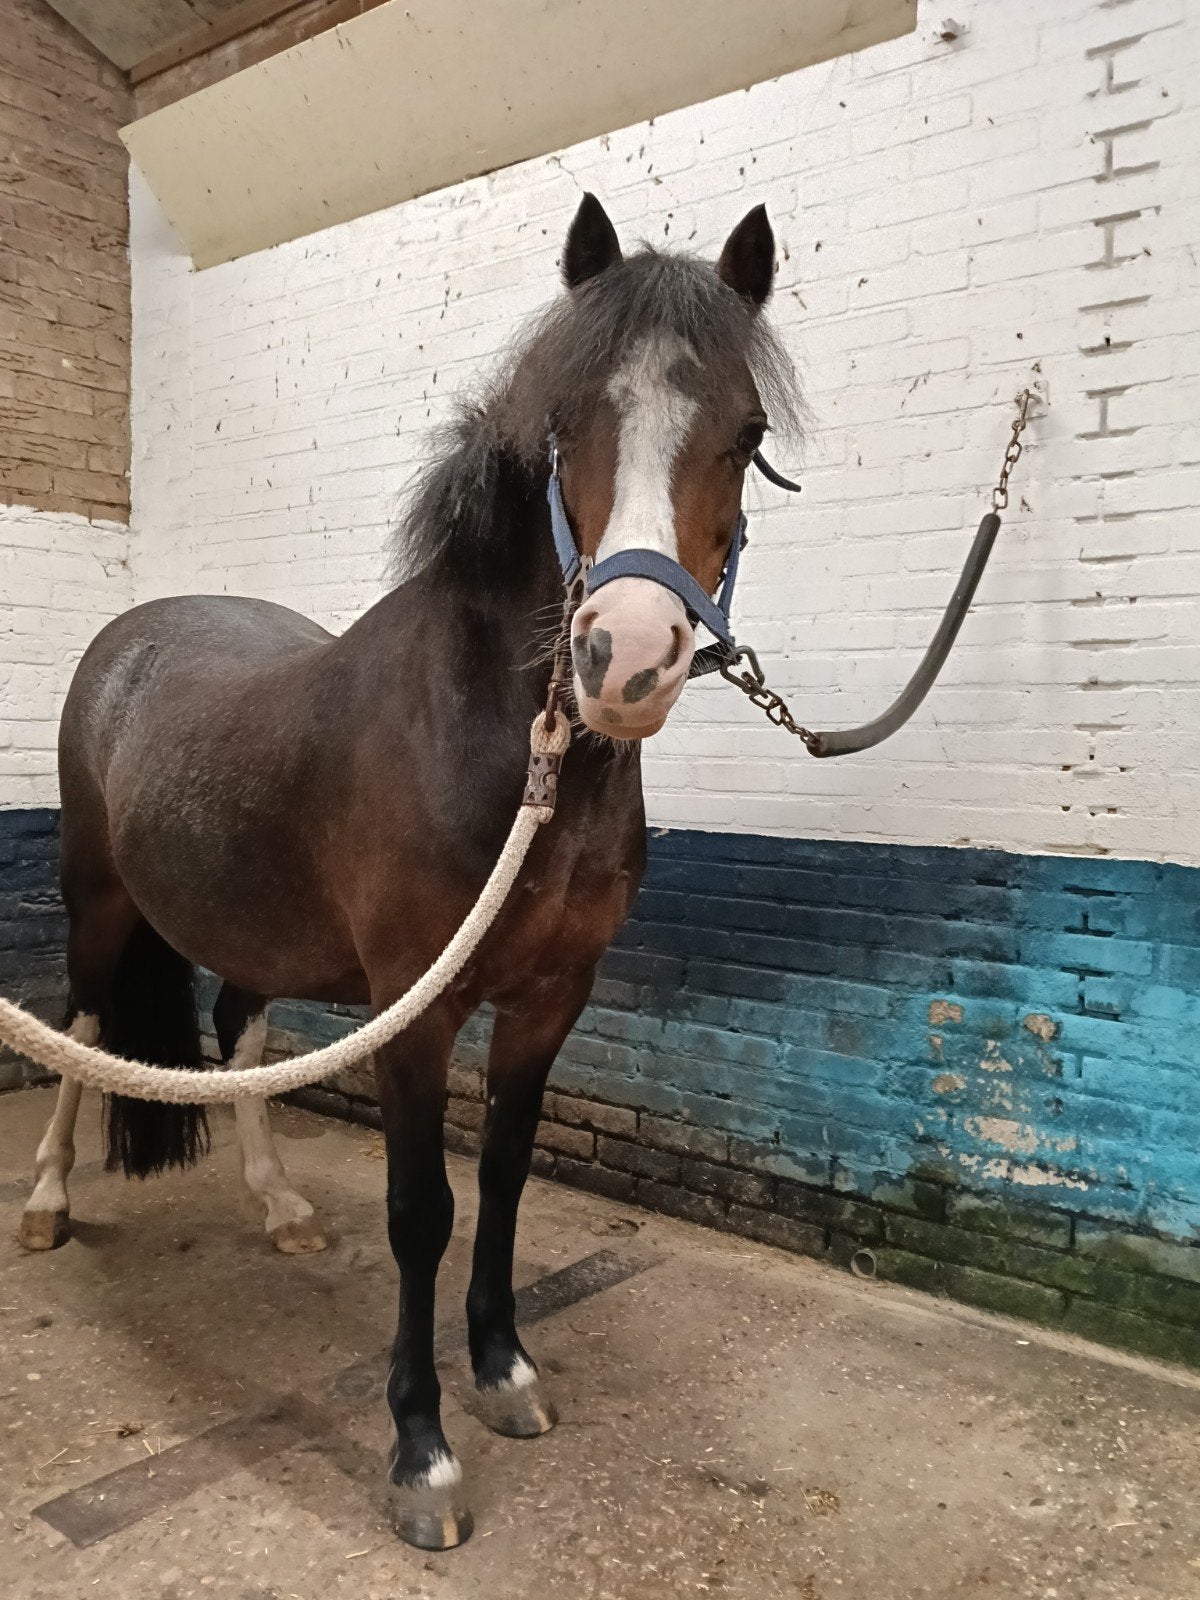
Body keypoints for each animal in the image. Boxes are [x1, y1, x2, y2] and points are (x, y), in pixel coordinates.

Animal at [15, 193, 801, 1549]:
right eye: (563, 426)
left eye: (746, 434)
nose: (625, 656)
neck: (505, 749)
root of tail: (129, 636)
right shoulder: (413, 1011)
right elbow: (421, 1210)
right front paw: (422, 1452)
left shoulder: (549, 1001)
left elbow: (504, 1177)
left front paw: (506, 1370)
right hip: (97, 904)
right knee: (84, 1027)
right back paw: (52, 1202)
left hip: (252, 929)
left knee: (241, 1032)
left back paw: (278, 1206)